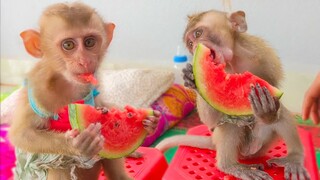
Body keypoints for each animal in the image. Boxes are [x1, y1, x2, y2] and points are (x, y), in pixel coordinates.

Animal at [9, 2, 159, 180]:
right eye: (68, 45)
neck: (66, 81)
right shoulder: (39, 89)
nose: (85, 60)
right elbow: (22, 134)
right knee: (57, 165)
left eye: (89, 42)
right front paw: (75, 144)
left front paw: (151, 123)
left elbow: (102, 103)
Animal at [156, 9, 312, 180]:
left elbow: (273, 93)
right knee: (229, 124)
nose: (195, 47)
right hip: (240, 149)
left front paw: (267, 112)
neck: (234, 62)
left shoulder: (262, 55)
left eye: (198, 33)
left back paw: (294, 158)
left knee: (282, 114)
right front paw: (193, 79)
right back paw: (231, 166)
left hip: (263, 145)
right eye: (190, 44)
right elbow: (212, 121)